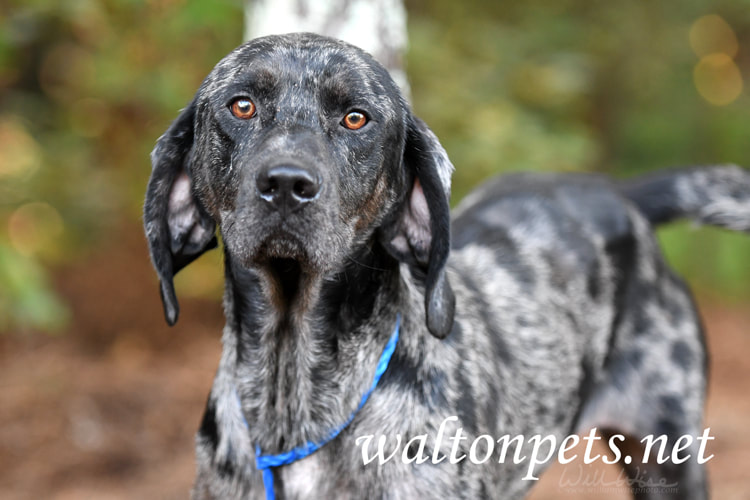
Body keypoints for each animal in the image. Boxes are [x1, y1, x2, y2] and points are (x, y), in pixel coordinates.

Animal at [145, 32, 750, 500]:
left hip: (669, 461)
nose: (287, 184)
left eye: (356, 118)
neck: (293, 399)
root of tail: (618, 194)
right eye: (241, 105)